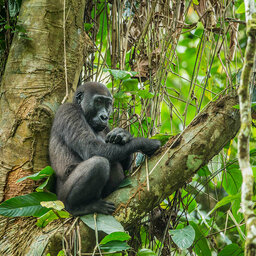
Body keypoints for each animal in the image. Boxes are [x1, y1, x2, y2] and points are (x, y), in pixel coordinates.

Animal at [49, 82, 160, 216]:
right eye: (98, 102)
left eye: (108, 104)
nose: (104, 116)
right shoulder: (69, 111)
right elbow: (93, 149)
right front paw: (146, 142)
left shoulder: (106, 127)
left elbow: (124, 165)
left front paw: (123, 134)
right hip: (59, 201)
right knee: (99, 163)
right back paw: (76, 207)